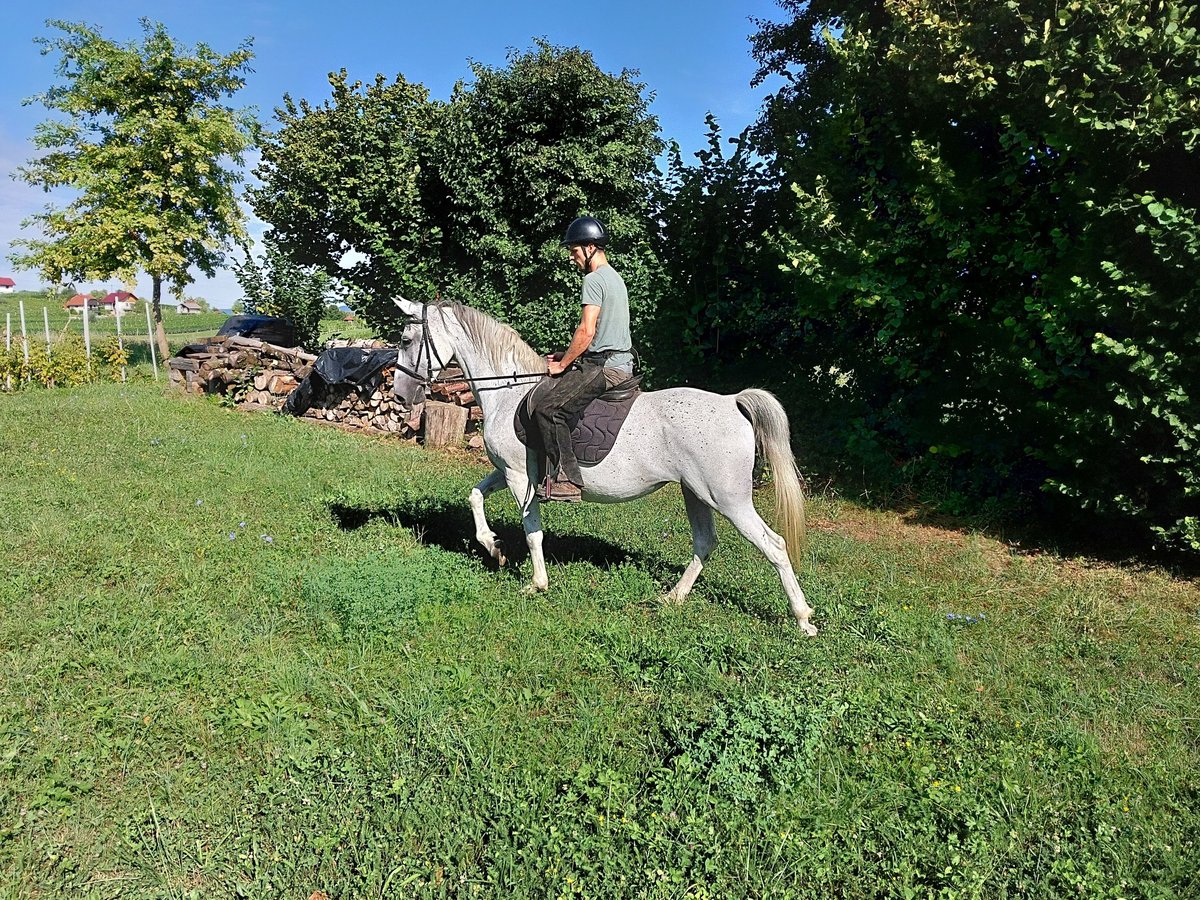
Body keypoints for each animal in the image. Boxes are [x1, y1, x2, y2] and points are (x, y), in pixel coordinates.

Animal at [391, 296, 816, 633]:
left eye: (407, 341)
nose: (400, 396)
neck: (508, 391)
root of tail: (732, 402)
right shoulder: (508, 471)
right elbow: (475, 496)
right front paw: (494, 548)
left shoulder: (518, 477)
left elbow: (532, 532)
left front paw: (537, 583)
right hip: (696, 493)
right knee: (705, 542)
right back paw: (673, 598)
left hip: (729, 499)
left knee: (774, 546)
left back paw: (802, 619)